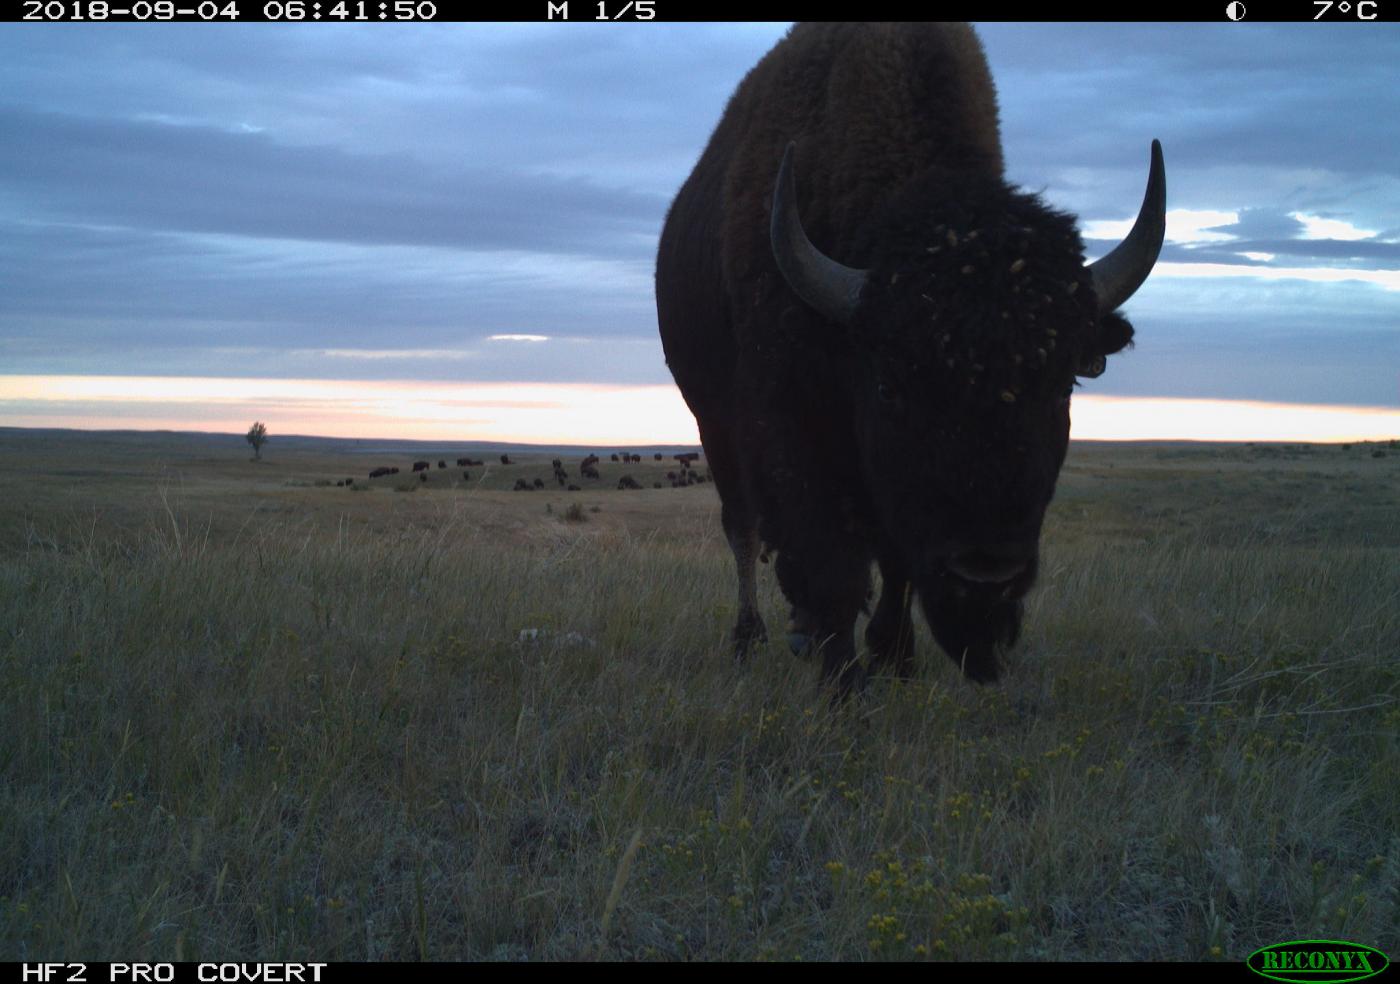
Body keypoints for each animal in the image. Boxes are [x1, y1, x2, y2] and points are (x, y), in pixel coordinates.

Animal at [649, 25, 1164, 699]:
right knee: (744, 527)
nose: (984, 575)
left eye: (1061, 386)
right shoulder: (787, 426)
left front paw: (894, 654)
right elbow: (830, 561)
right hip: (712, 423)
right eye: (890, 387)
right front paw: (844, 684)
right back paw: (751, 640)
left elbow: (894, 559)